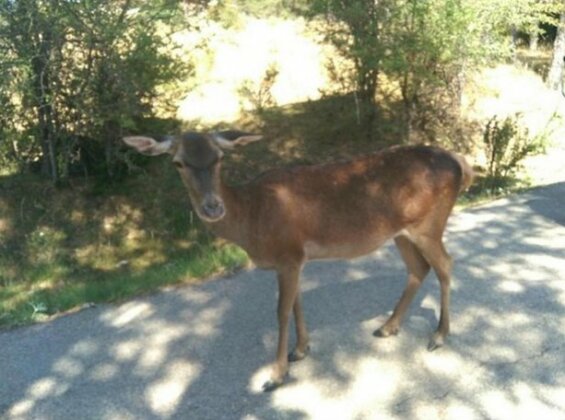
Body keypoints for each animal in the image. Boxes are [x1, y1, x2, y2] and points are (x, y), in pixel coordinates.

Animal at [122, 130, 472, 390]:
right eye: (178, 163)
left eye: (219, 158)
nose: (212, 207)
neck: (252, 220)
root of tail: (461, 162)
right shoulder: (294, 257)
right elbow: (296, 303)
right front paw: (301, 350)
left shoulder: (288, 254)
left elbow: (281, 311)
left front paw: (276, 375)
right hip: (401, 231)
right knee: (419, 268)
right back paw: (388, 327)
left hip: (428, 224)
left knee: (445, 264)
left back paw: (439, 335)